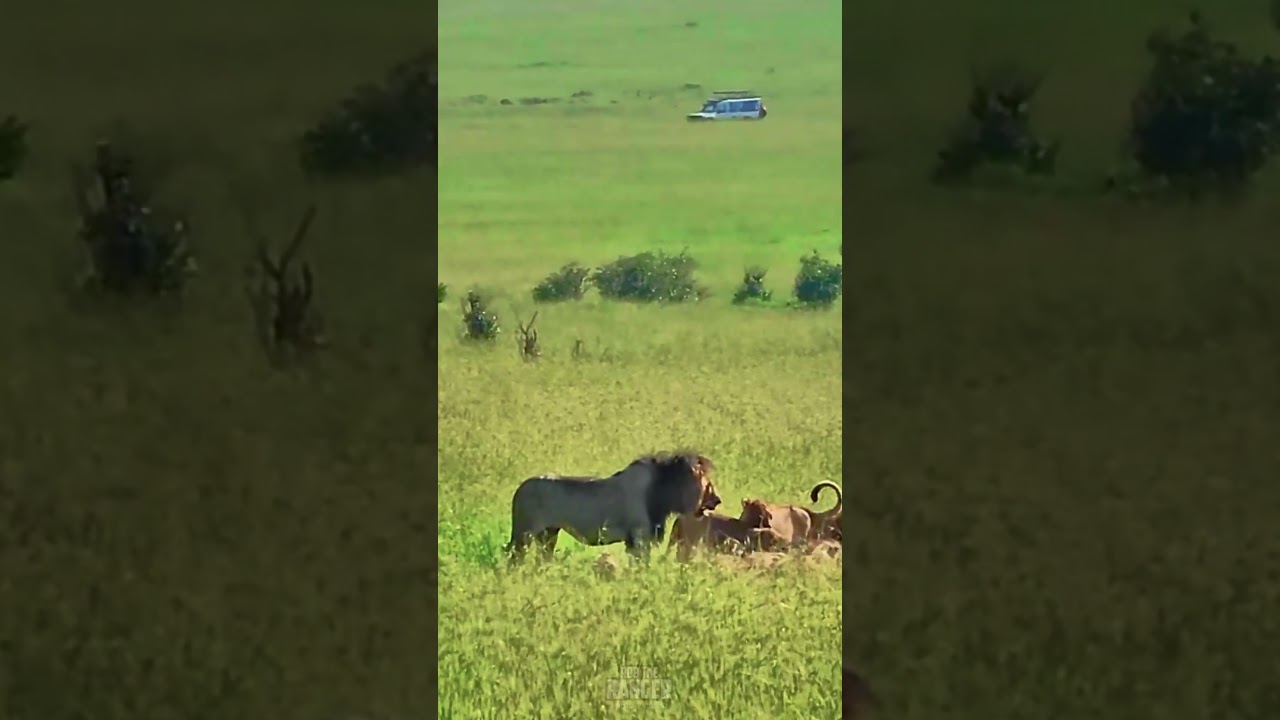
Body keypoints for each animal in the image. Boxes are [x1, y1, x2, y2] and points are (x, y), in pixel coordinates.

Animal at [505, 451, 720, 563]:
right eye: (707, 484)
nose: (717, 500)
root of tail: (519, 488)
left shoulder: (633, 540)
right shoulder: (640, 538)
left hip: (548, 534)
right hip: (523, 534)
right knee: (513, 556)